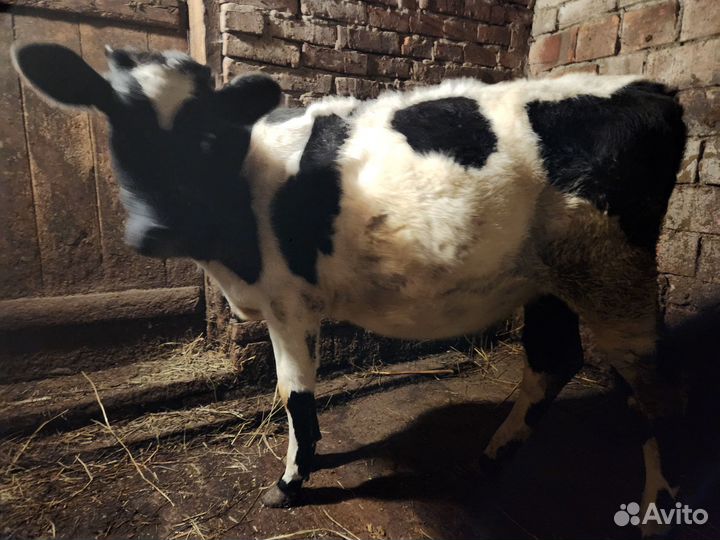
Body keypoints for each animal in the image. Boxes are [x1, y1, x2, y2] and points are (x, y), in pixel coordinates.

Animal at [12, 43, 687, 534]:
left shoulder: (289, 301)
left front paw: (290, 482)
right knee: (553, 360)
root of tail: (652, 88)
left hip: (613, 273)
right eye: (114, 122)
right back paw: (493, 455)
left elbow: (294, 395)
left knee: (652, 392)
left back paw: (658, 506)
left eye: (204, 135)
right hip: (552, 276)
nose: (155, 231)